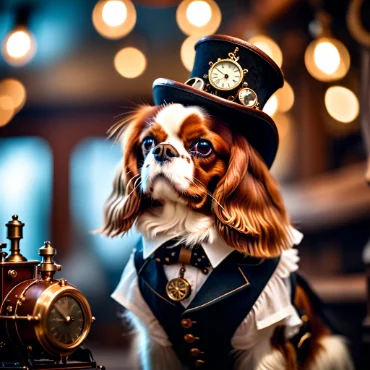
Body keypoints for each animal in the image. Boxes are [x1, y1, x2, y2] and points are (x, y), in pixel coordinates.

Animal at [100, 103, 352, 370]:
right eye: (148, 142)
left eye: (202, 146)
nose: (162, 150)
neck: (188, 248)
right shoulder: (156, 344)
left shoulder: (263, 345)